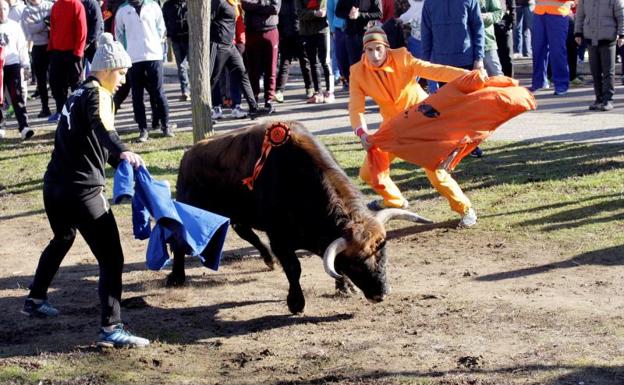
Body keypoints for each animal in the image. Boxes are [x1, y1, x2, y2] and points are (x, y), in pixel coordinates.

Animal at [168, 121, 428, 314]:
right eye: (356, 262)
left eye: (383, 254)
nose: (381, 293)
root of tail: (189, 154)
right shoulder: (279, 238)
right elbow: (294, 268)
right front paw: (296, 303)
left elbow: (333, 265)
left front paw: (345, 288)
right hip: (189, 207)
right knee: (178, 239)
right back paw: (177, 277)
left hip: (237, 214)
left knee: (246, 232)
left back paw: (268, 260)